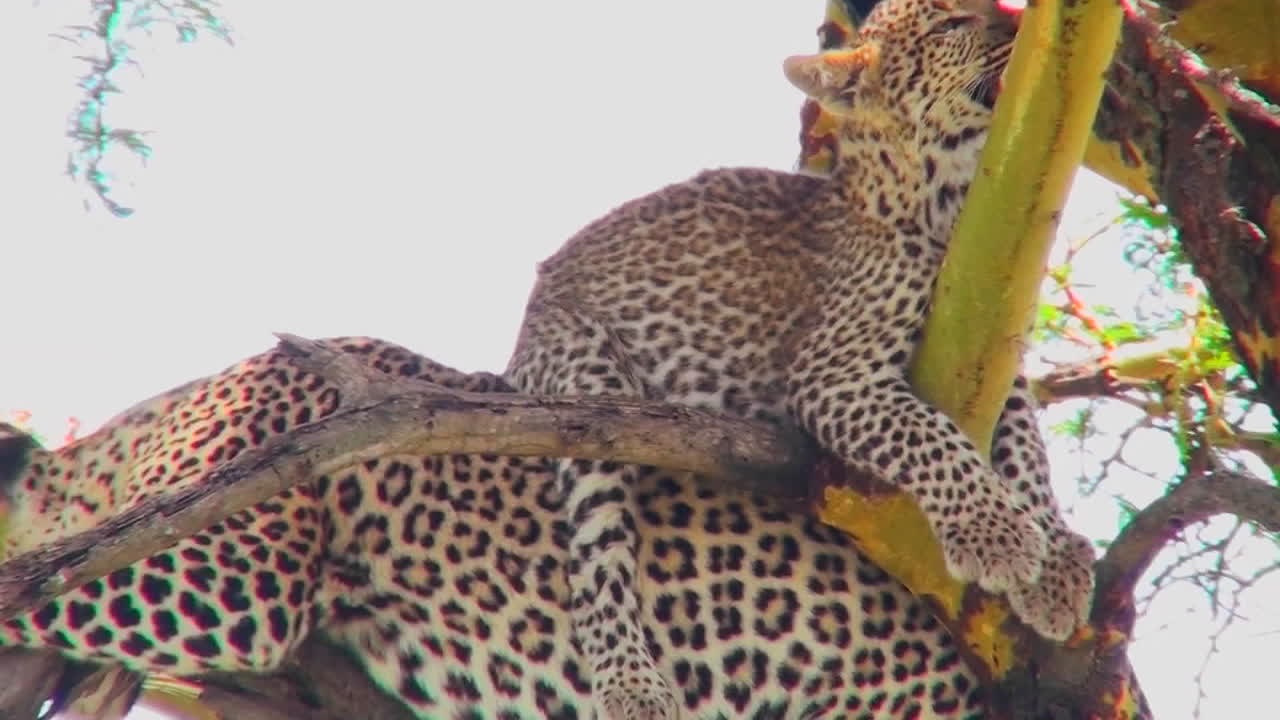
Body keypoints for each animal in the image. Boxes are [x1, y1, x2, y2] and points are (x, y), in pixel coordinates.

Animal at [503, 0, 1094, 714]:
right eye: (952, 24)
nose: (1019, 24)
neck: (950, 204)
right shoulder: (834, 375)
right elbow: (933, 438)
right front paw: (995, 536)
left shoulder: (999, 368)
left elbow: (1029, 457)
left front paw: (1055, 565)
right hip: (586, 390)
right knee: (597, 554)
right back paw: (631, 684)